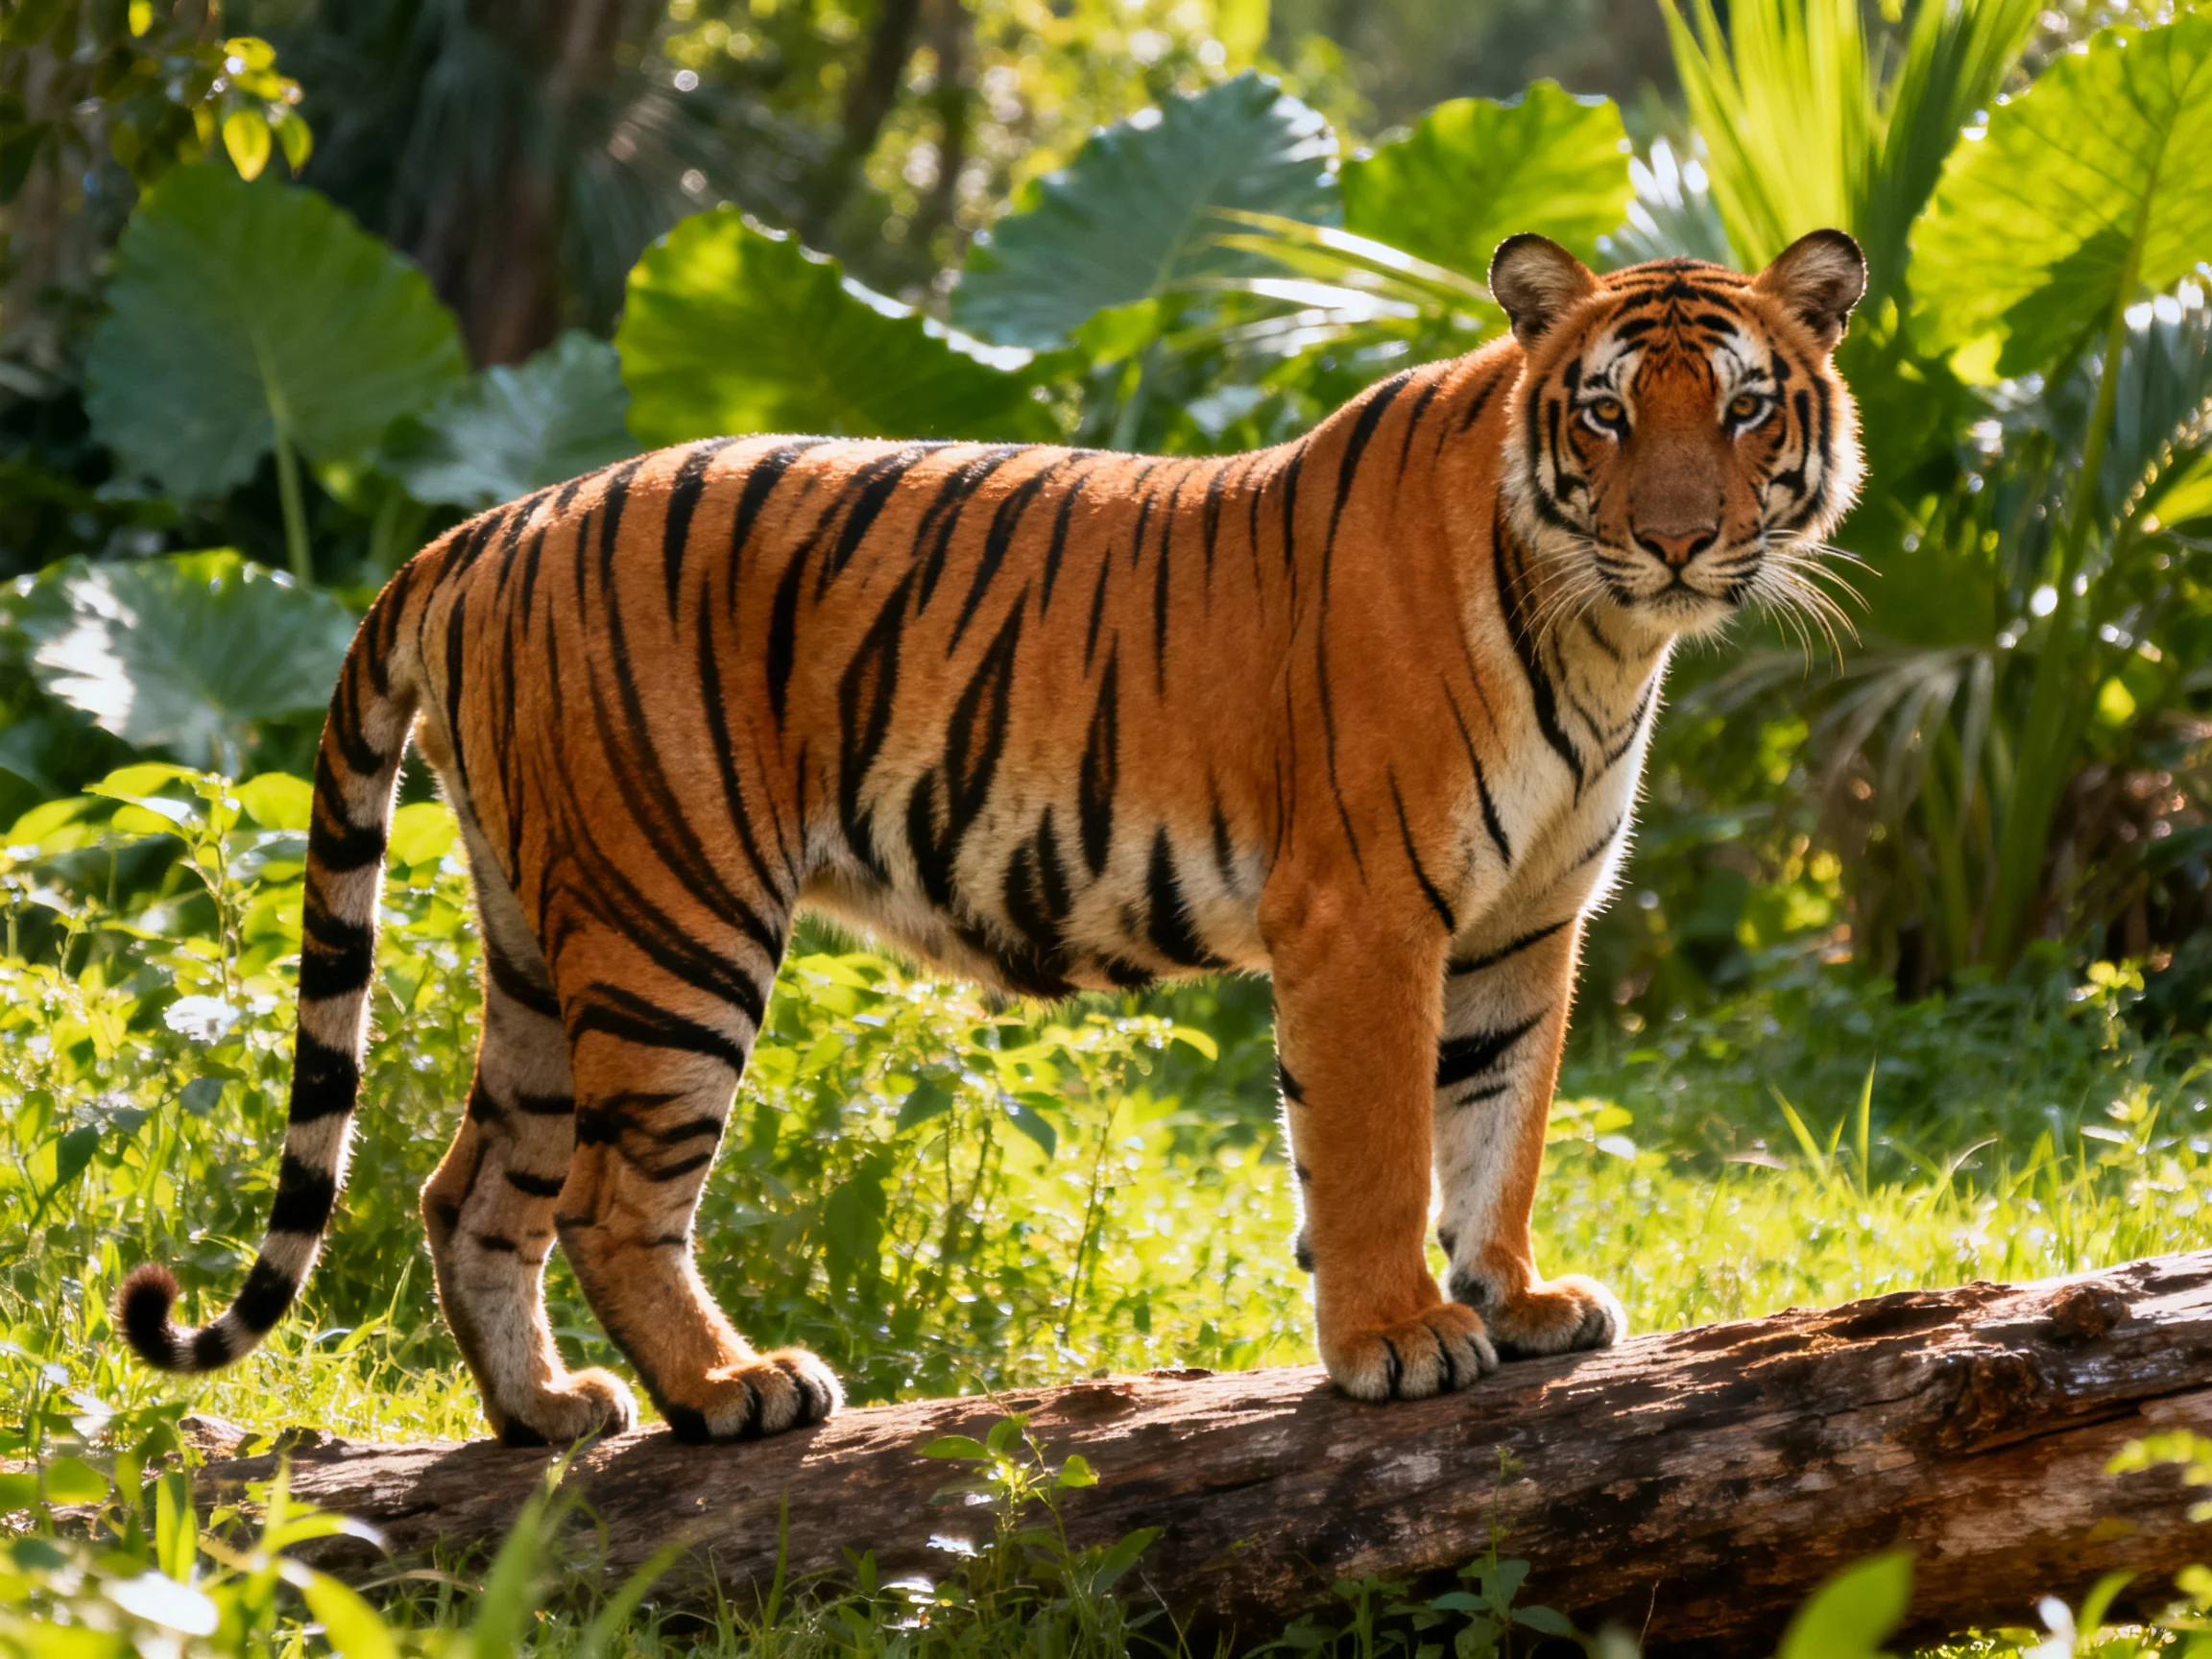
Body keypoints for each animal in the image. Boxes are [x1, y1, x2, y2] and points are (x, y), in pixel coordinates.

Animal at [116, 229, 1866, 1443]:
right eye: (1605, 415)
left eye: (1739, 410)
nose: (1676, 538)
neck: (1601, 635)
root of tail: (486, 525)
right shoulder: (1369, 912)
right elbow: (1375, 1149)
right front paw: (1397, 1338)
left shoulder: (1523, 918)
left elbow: (1497, 1123)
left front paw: (1518, 1295)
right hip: (671, 917)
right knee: (612, 1203)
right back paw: (731, 1388)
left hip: (544, 931)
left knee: (468, 1187)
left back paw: (545, 1413)